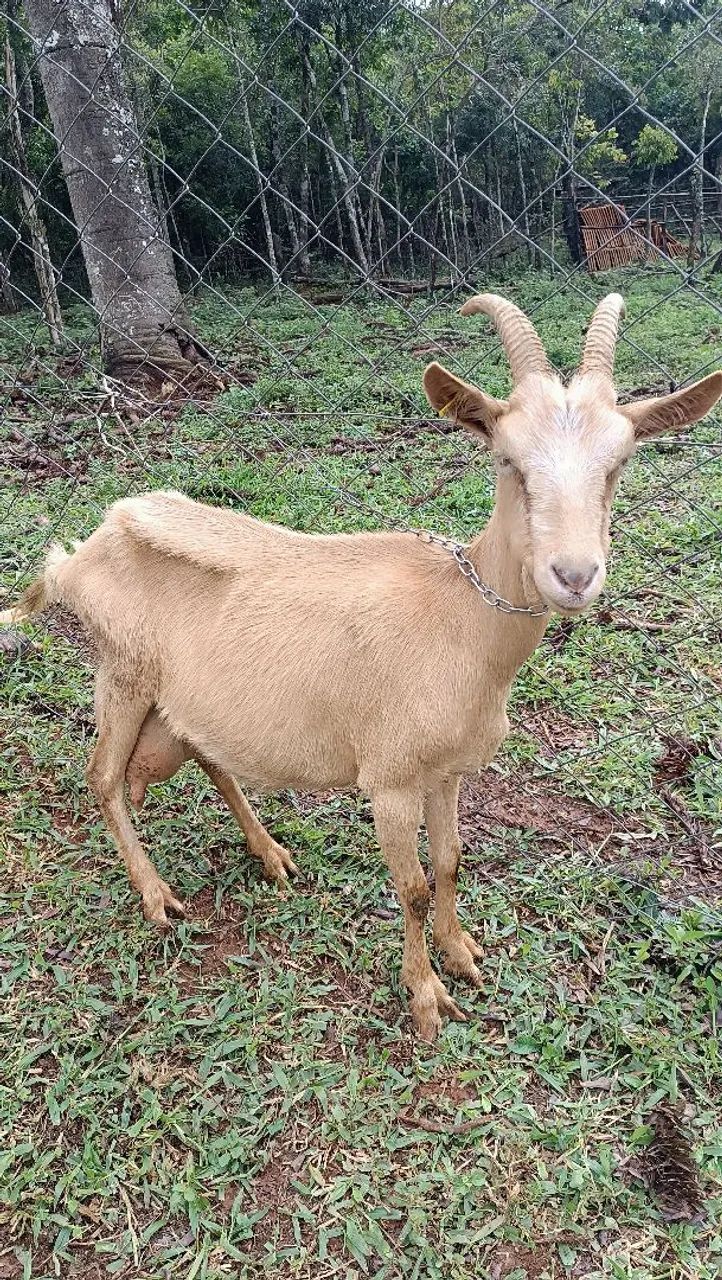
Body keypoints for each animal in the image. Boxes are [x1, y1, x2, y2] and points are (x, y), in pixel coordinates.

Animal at [4, 293, 721, 1041]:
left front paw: (462, 953)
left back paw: (269, 853)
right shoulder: (391, 779)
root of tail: (81, 552)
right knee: (104, 778)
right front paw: (427, 998)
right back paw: (155, 894)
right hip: (123, 675)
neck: (462, 621)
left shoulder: (447, 771)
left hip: (181, 702)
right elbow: (412, 887)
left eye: (619, 463)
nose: (574, 576)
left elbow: (450, 862)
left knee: (208, 757)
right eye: (508, 460)